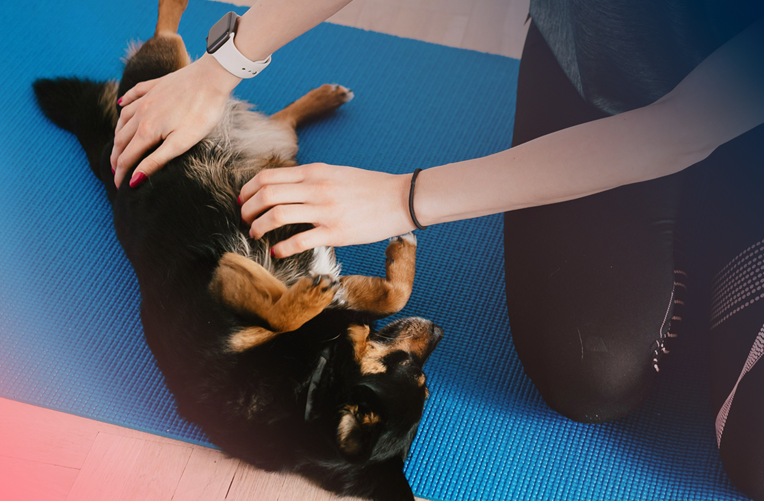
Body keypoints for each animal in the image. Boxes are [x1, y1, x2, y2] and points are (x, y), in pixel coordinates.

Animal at [32, 1, 444, 498]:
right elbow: (321, 305)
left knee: (256, 102)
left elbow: (371, 296)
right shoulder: (227, 308)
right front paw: (315, 291)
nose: (438, 331)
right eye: (411, 368)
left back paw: (321, 97)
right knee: (173, 41)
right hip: (166, 87)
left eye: (422, 378)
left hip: (254, 132)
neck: (312, 379)